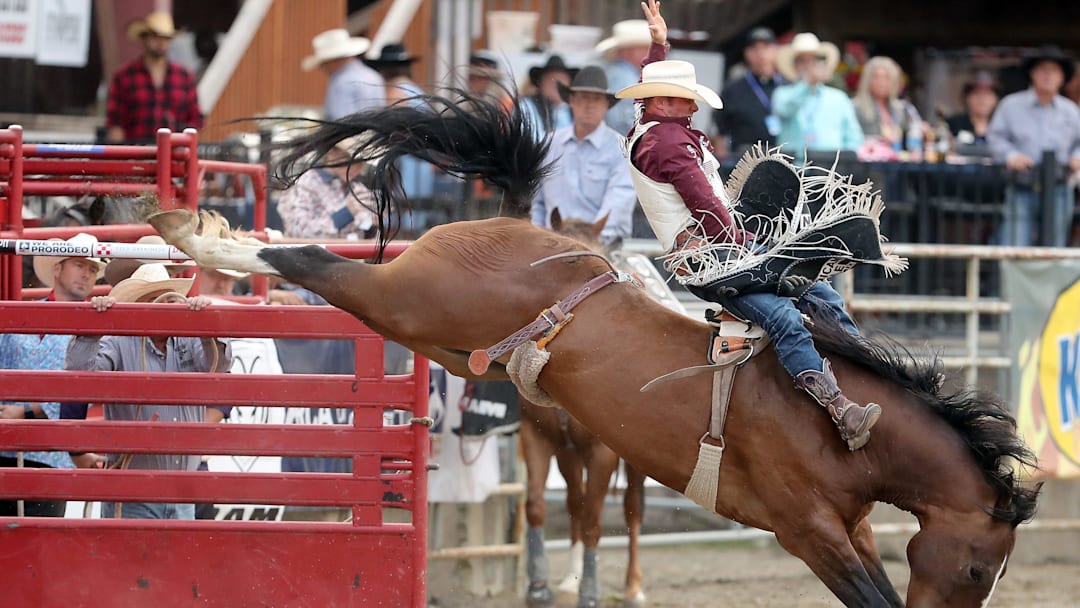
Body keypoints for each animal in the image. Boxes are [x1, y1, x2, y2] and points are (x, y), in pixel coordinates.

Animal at [520, 210, 647, 608]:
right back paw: (568, 581)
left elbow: (593, 519)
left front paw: (590, 591)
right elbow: (537, 505)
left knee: (632, 509)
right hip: (569, 454)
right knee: (575, 501)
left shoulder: (602, 450)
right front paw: (539, 584)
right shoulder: (540, 437)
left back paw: (633, 587)